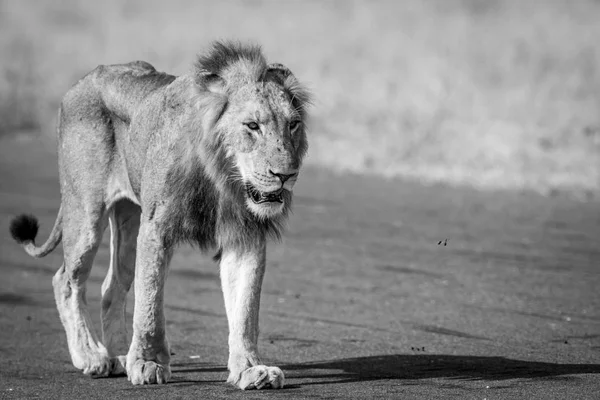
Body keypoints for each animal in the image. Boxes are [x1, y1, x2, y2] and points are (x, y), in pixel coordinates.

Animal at [9, 42, 312, 390]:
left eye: (293, 124)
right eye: (252, 126)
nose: (286, 175)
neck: (223, 176)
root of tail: (84, 79)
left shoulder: (245, 236)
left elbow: (246, 309)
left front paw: (250, 369)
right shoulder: (157, 227)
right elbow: (150, 300)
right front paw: (148, 363)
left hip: (128, 220)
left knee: (111, 286)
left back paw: (119, 357)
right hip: (86, 211)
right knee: (66, 280)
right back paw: (91, 356)